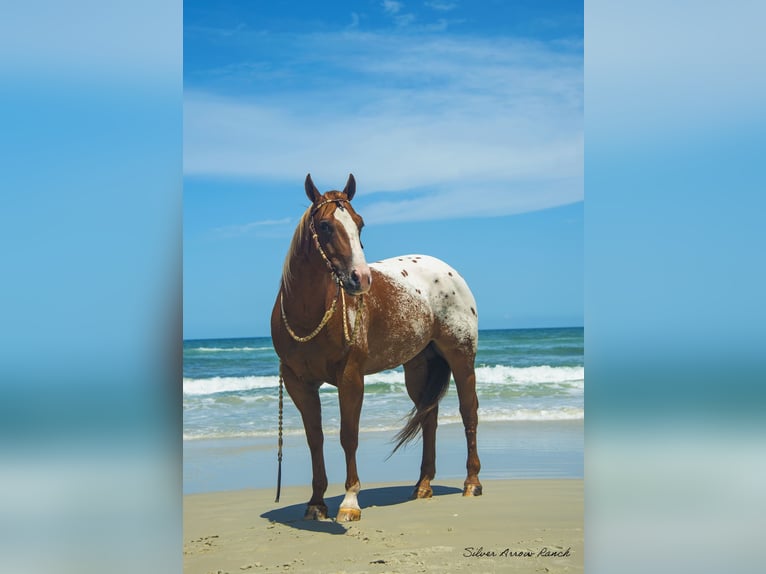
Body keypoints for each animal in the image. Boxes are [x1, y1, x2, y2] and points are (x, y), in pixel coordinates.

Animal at [272, 173, 484, 524]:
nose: (361, 279)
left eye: (359, 224)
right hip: (418, 367)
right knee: (428, 416)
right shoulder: (298, 383)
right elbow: (315, 438)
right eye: (326, 225)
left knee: (469, 412)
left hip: (461, 358)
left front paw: (349, 502)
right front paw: (316, 503)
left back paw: (472, 482)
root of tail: (449, 272)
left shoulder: (350, 377)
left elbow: (349, 435)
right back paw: (423, 485)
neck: (310, 315)